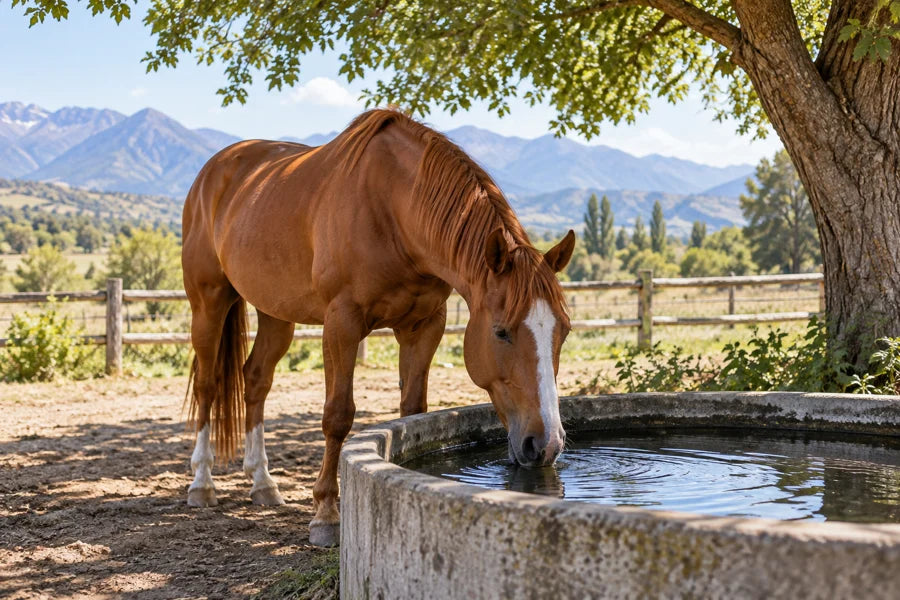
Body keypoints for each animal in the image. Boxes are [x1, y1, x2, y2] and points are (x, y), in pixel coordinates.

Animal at [181, 108, 575, 547]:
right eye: (501, 332)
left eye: (563, 330)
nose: (547, 444)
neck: (393, 210)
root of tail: (215, 170)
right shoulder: (342, 322)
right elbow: (338, 415)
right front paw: (325, 514)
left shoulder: (425, 326)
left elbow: (413, 411)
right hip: (209, 303)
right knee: (208, 385)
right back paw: (202, 484)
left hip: (276, 314)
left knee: (255, 380)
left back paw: (263, 482)